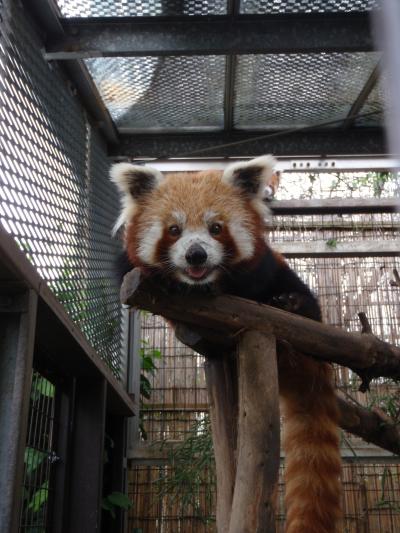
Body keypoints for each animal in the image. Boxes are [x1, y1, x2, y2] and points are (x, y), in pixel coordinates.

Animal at [111, 156, 340, 532]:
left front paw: (290, 301)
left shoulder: (263, 266)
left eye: (216, 228)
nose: (196, 255)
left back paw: (292, 305)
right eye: (173, 230)